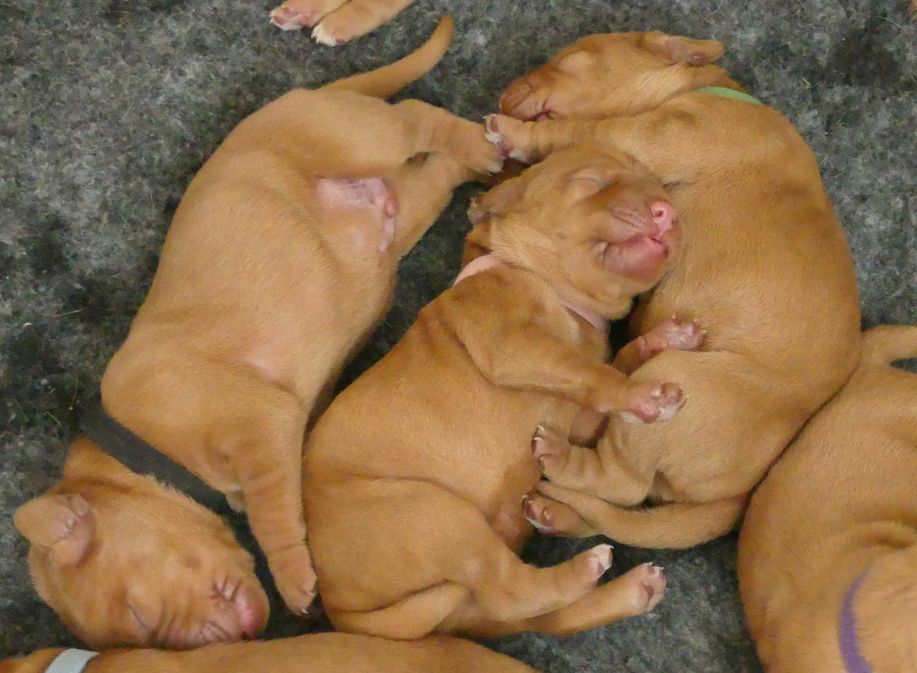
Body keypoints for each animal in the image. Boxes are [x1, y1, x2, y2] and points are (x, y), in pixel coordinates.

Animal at [13, 16, 501, 649]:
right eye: (148, 638)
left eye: (140, 614)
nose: (233, 645)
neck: (142, 449)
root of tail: (305, 95)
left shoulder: (257, 425)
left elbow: (274, 515)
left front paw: (293, 577)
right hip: (406, 208)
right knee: (433, 171)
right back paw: (472, 163)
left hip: (355, 135)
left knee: (417, 115)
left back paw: (483, 144)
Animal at [302, 144, 693, 640]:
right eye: (593, 181)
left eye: (659, 188)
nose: (668, 212)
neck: (556, 290)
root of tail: (344, 615)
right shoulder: (509, 343)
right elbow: (585, 370)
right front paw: (644, 396)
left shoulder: (578, 415)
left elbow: (609, 367)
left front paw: (662, 340)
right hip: (435, 514)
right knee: (511, 593)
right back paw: (588, 569)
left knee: (537, 615)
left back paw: (629, 590)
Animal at [485, 30, 861, 547]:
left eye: (568, 59)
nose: (502, 96)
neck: (700, 88)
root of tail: (742, 494)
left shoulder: (646, 137)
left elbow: (578, 130)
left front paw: (511, 135)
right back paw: (554, 513)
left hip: (682, 380)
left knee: (621, 481)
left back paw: (558, 458)